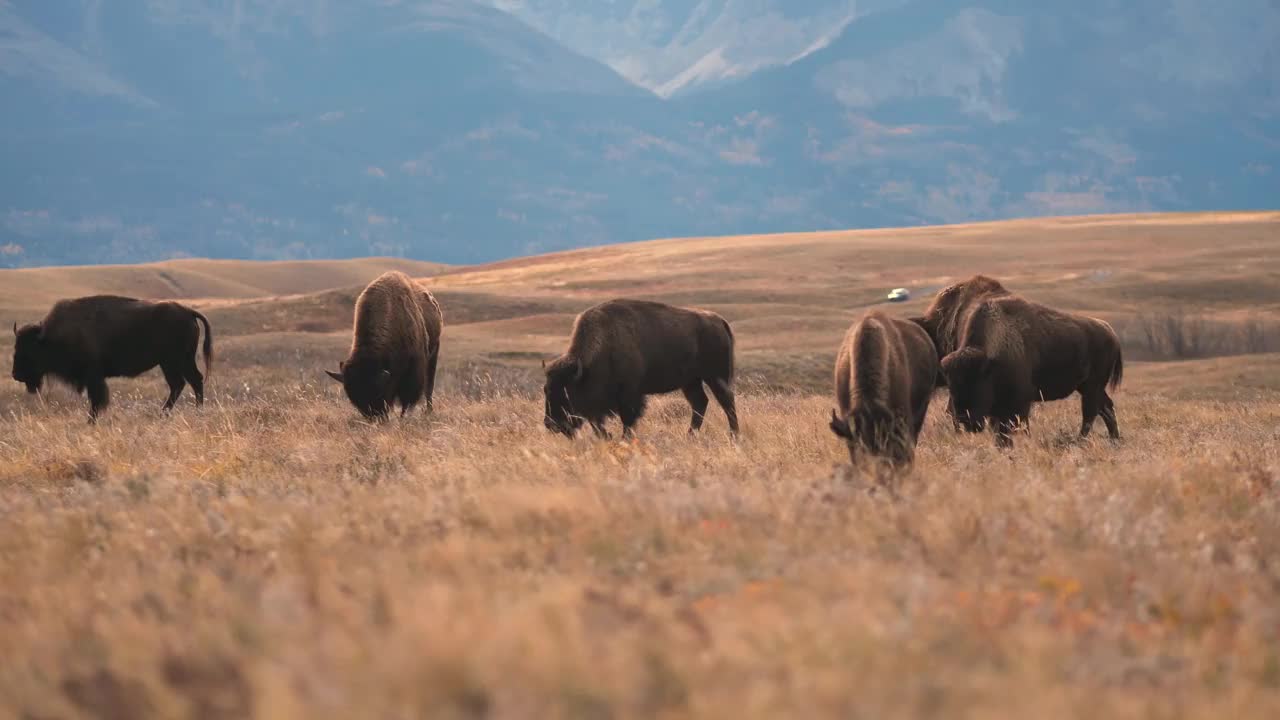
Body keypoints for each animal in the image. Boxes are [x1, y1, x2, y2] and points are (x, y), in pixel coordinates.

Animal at [10, 295, 212, 420]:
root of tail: (187, 311)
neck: (51, 337)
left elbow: (97, 401)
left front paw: (91, 421)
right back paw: (169, 413)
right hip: (173, 362)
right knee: (184, 383)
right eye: (16, 346)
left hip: (176, 361)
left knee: (190, 381)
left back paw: (189, 412)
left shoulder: (93, 377)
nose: (16, 374)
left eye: (30, 350)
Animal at [325, 270, 445, 417]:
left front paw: (404, 417)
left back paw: (428, 411)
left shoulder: (414, 369)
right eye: (353, 399)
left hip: (434, 353)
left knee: (429, 386)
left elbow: (409, 398)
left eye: (379, 393)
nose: (376, 417)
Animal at [542, 297, 742, 438]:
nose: (550, 424)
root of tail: (719, 320)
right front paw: (608, 436)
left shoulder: (630, 396)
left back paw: (734, 436)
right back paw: (690, 436)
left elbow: (627, 420)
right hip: (691, 382)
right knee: (700, 403)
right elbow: (597, 423)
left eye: (566, 391)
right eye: (546, 389)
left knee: (726, 401)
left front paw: (624, 439)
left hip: (714, 377)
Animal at [936, 294, 1126, 445]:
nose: (963, 419)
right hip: (1088, 387)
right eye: (951, 387)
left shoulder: (1018, 402)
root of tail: (1111, 333)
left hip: (1092, 388)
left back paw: (1081, 441)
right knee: (1106, 407)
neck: (990, 361)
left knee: (1091, 413)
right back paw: (1113, 439)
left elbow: (1011, 427)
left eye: (977, 382)